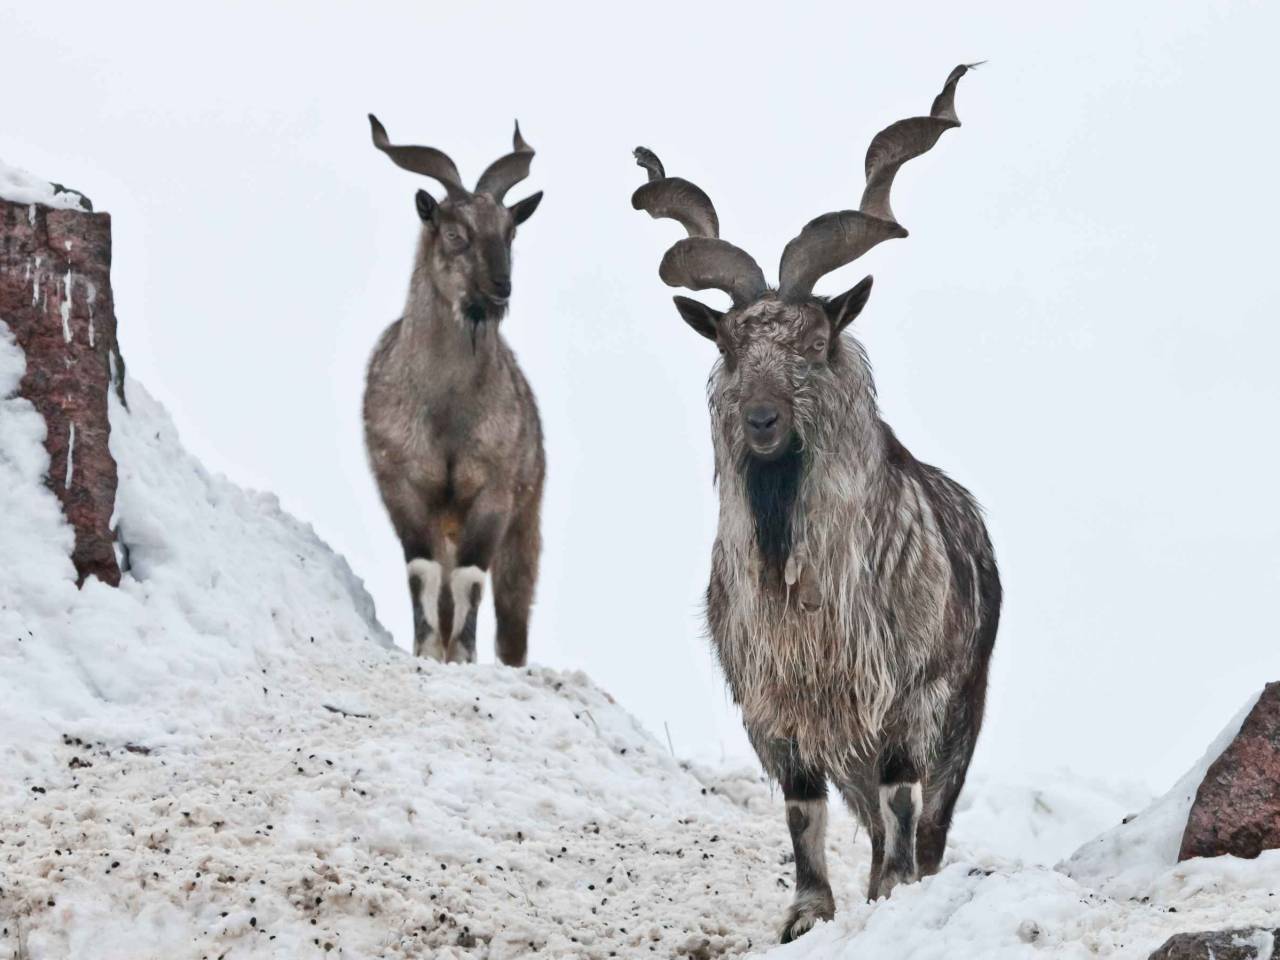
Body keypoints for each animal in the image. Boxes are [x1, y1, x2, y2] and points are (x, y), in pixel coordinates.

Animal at [364, 116, 545, 666]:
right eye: (454, 233)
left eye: (510, 231)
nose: (500, 286)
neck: (445, 409)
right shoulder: (403, 484)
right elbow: (422, 573)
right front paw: (428, 650)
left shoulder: (494, 491)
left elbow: (470, 578)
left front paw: (462, 655)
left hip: (524, 523)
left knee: (512, 615)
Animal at [630, 65, 1001, 942]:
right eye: (730, 343)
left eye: (814, 341)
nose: (762, 421)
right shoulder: (776, 712)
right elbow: (804, 812)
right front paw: (807, 914)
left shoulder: (908, 698)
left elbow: (902, 801)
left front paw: (893, 893)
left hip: (964, 712)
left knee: (928, 819)